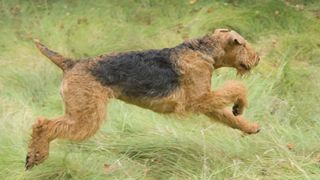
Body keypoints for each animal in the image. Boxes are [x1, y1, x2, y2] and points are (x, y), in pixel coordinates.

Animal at [25, 28, 260, 169]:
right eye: (244, 44)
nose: (258, 58)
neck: (204, 52)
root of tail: (71, 63)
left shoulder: (206, 101)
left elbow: (229, 117)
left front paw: (251, 126)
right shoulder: (196, 100)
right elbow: (237, 87)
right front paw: (239, 105)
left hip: (80, 111)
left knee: (41, 124)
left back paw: (32, 157)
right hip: (87, 117)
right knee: (43, 125)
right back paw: (36, 157)